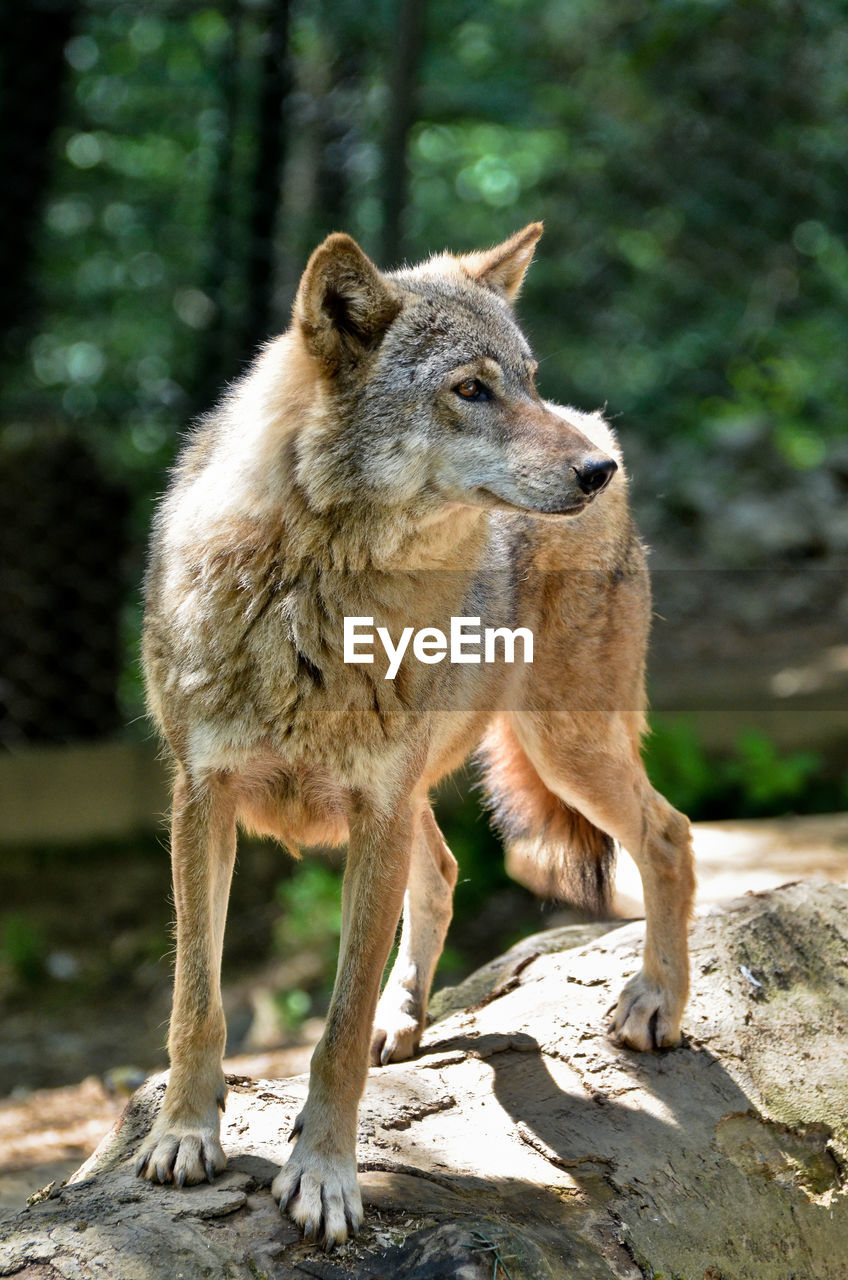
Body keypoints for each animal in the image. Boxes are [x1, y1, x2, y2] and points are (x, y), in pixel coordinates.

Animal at [139, 225, 696, 1244]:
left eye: (526, 379)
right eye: (471, 389)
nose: (594, 473)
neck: (316, 595)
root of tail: (601, 425)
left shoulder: (375, 805)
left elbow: (333, 1033)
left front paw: (323, 1176)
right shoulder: (203, 797)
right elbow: (196, 1000)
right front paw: (184, 1136)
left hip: (556, 748)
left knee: (668, 835)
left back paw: (654, 1004)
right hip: (443, 787)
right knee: (442, 871)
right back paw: (405, 1018)